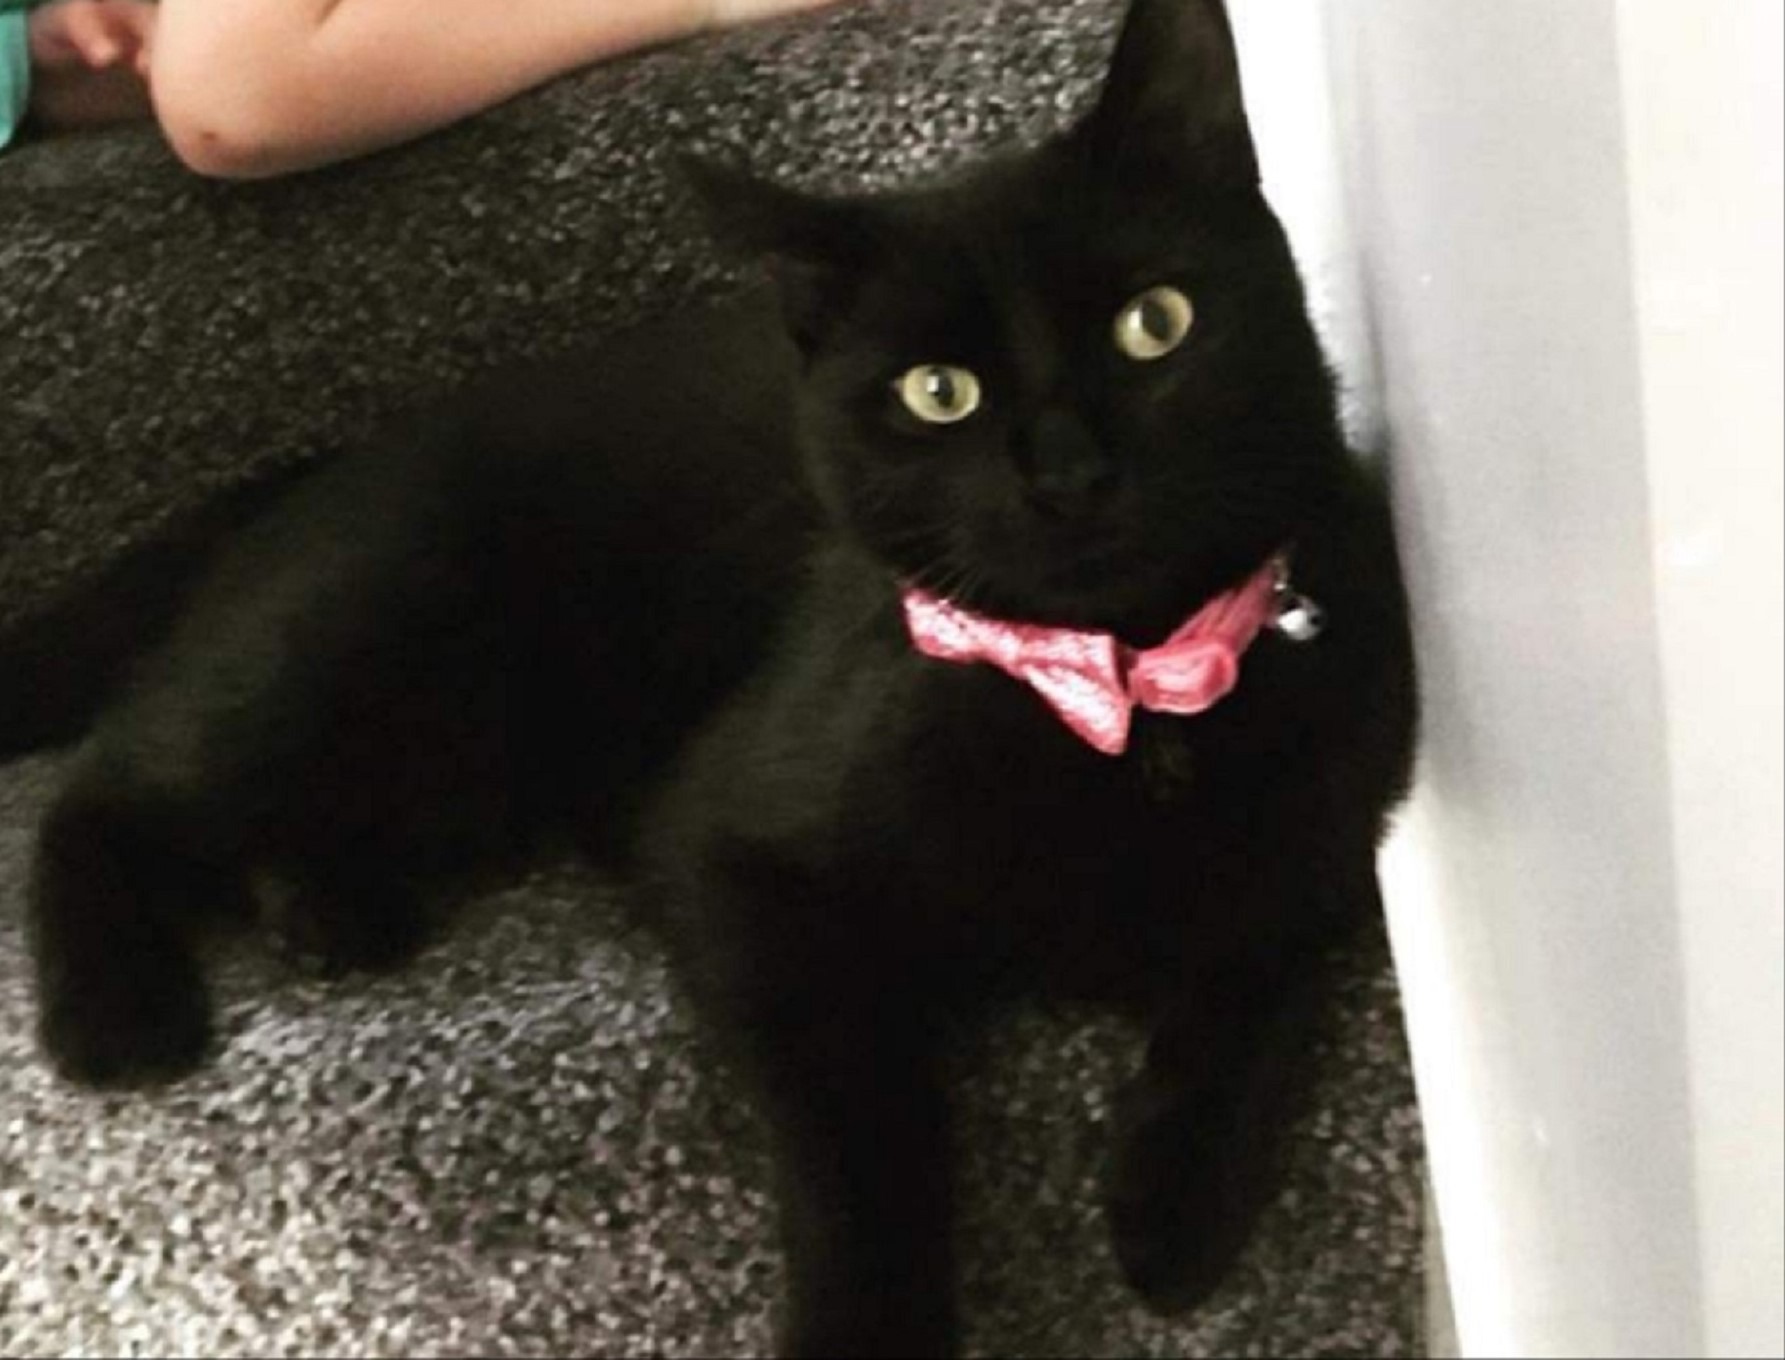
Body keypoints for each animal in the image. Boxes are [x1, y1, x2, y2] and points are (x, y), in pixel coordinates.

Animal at [17, 5, 1406, 1349]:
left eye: (1154, 323)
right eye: (937, 393)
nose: (1067, 473)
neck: (1121, 695)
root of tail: (323, 461)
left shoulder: (1338, 807)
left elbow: (1271, 960)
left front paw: (1175, 1204)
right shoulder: (738, 863)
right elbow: (864, 1140)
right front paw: (873, 1325)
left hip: (459, 761)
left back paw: (328, 912)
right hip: (343, 647)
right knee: (102, 795)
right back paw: (118, 1013)